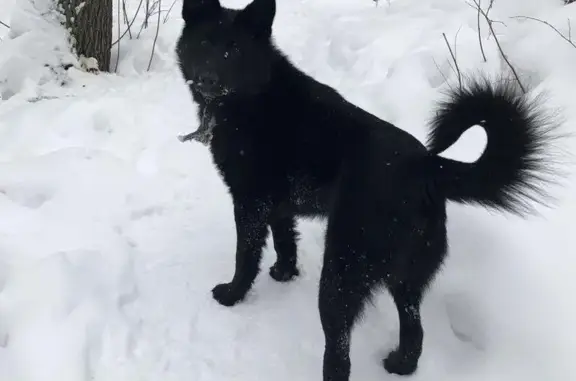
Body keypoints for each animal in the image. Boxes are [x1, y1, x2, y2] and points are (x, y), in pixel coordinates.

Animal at [174, 1, 560, 378]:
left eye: (234, 50)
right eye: (205, 43)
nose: (208, 79)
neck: (254, 95)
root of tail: (425, 167)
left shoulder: (250, 202)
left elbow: (246, 255)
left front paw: (232, 294)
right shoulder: (278, 204)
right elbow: (285, 240)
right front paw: (285, 273)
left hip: (342, 271)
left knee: (340, 348)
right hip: (406, 274)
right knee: (414, 326)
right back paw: (402, 364)